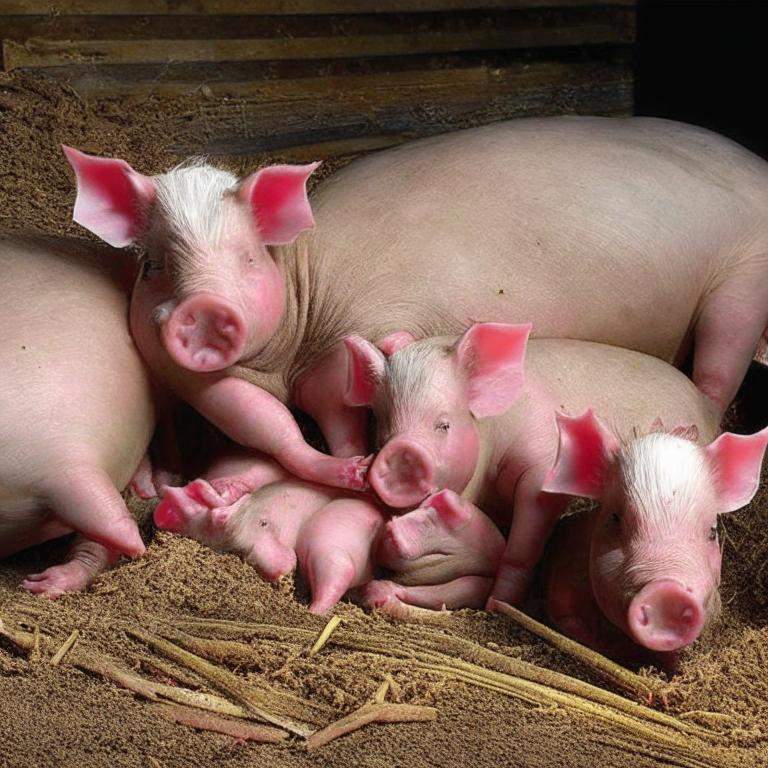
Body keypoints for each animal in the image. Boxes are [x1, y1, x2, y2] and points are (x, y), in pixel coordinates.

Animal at [63, 117, 768, 507]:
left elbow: (334, 422)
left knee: (717, 372)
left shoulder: (361, 340)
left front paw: (354, 468)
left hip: (741, 285)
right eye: (152, 265)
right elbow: (262, 425)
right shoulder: (207, 381)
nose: (204, 310)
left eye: (250, 257)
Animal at [344, 324, 768, 651]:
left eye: (443, 424)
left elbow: (523, 543)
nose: (399, 453)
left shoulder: (541, 464)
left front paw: (499, 604)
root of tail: (707, 406)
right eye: (382, 426)